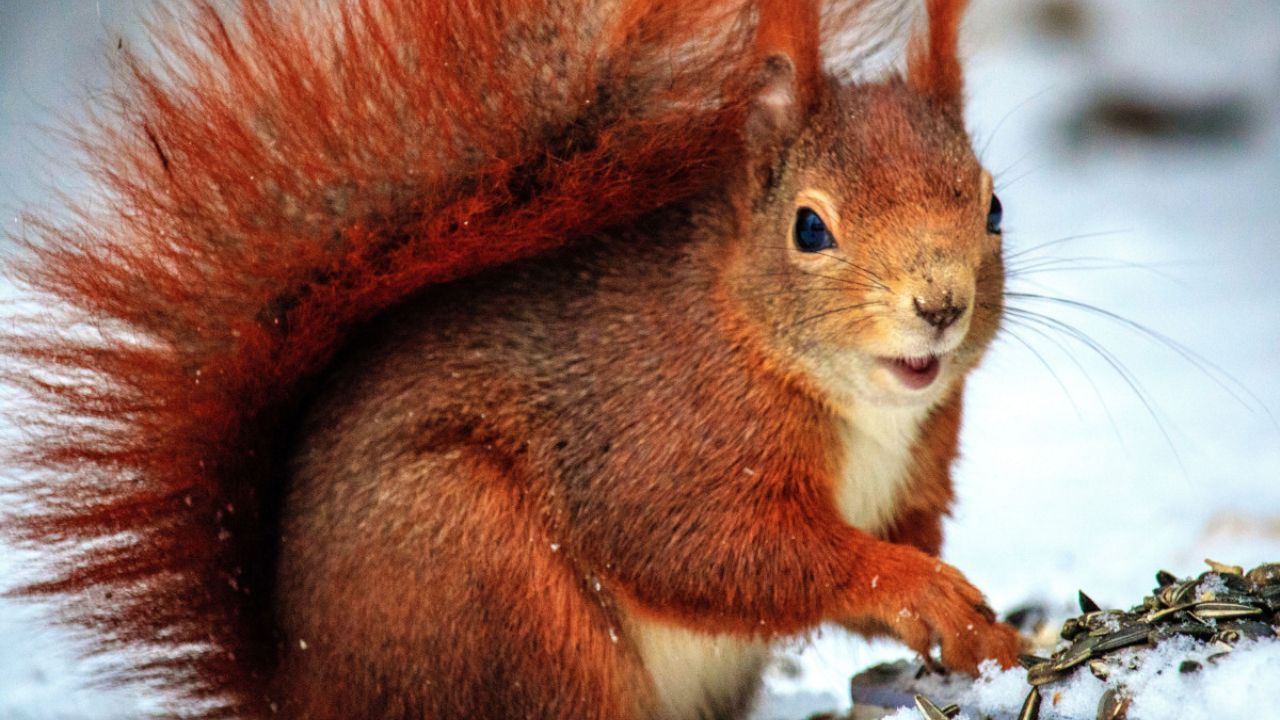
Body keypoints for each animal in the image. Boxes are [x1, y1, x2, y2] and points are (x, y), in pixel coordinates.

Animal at [0, 0, 1018, 712]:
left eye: (994, 206)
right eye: (810, 228)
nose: (941, 306)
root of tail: (304, 693)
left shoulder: (917, 472)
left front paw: (985, 633)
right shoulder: (662, 439)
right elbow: (709, 551)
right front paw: (918, 589)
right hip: (487, 585)